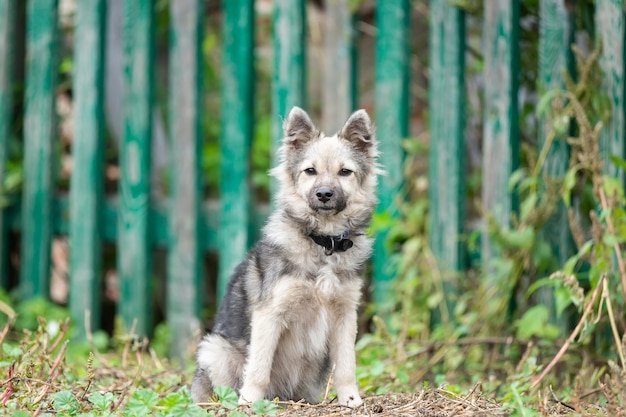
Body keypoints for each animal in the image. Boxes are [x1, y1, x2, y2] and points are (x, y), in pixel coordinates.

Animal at [188, 106, 378, 406]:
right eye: (310, 171)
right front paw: (250, 402)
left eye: (345, 172)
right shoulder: (270, 314)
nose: (324, 194)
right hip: (214, 348)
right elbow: (259, 366)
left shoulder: (345, 314)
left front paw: (351, 400)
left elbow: (347, 365)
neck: (323, 243)